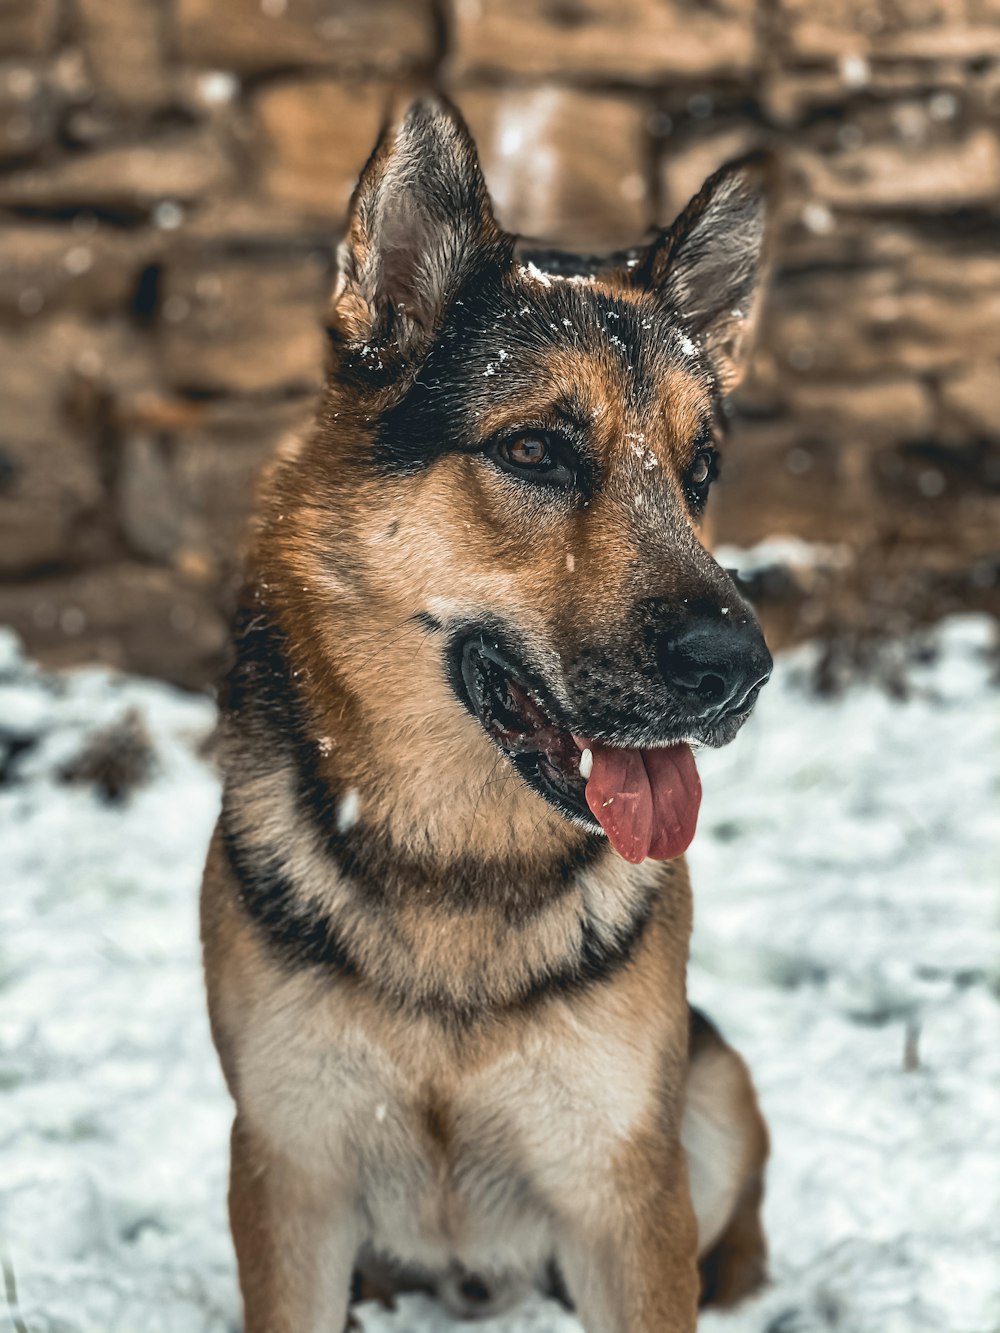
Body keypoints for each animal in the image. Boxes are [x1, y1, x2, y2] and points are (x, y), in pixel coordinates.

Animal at [204, 98, 778, 1327]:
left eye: (700, 471)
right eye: (534, 449)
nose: (738, 669)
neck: (456, 865)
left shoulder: (625, 1194)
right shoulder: (287, 1178)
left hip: (710, 1090)